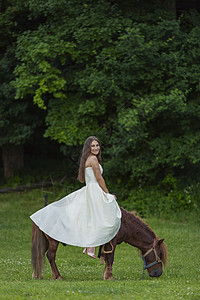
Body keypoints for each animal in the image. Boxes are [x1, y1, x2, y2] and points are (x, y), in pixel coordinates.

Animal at [30, 207, 167, 280]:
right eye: (160, 253)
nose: (158, 274)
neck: (124, 223)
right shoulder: (113, 243)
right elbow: (110, 258)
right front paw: (110, 277)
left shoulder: (107, 244)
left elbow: (106, 259)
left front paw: (105, 275)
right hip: (53, 242)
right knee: (50, 256)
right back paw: (57, 276)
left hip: (45, 242)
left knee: (40, 256)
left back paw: (37, 275)